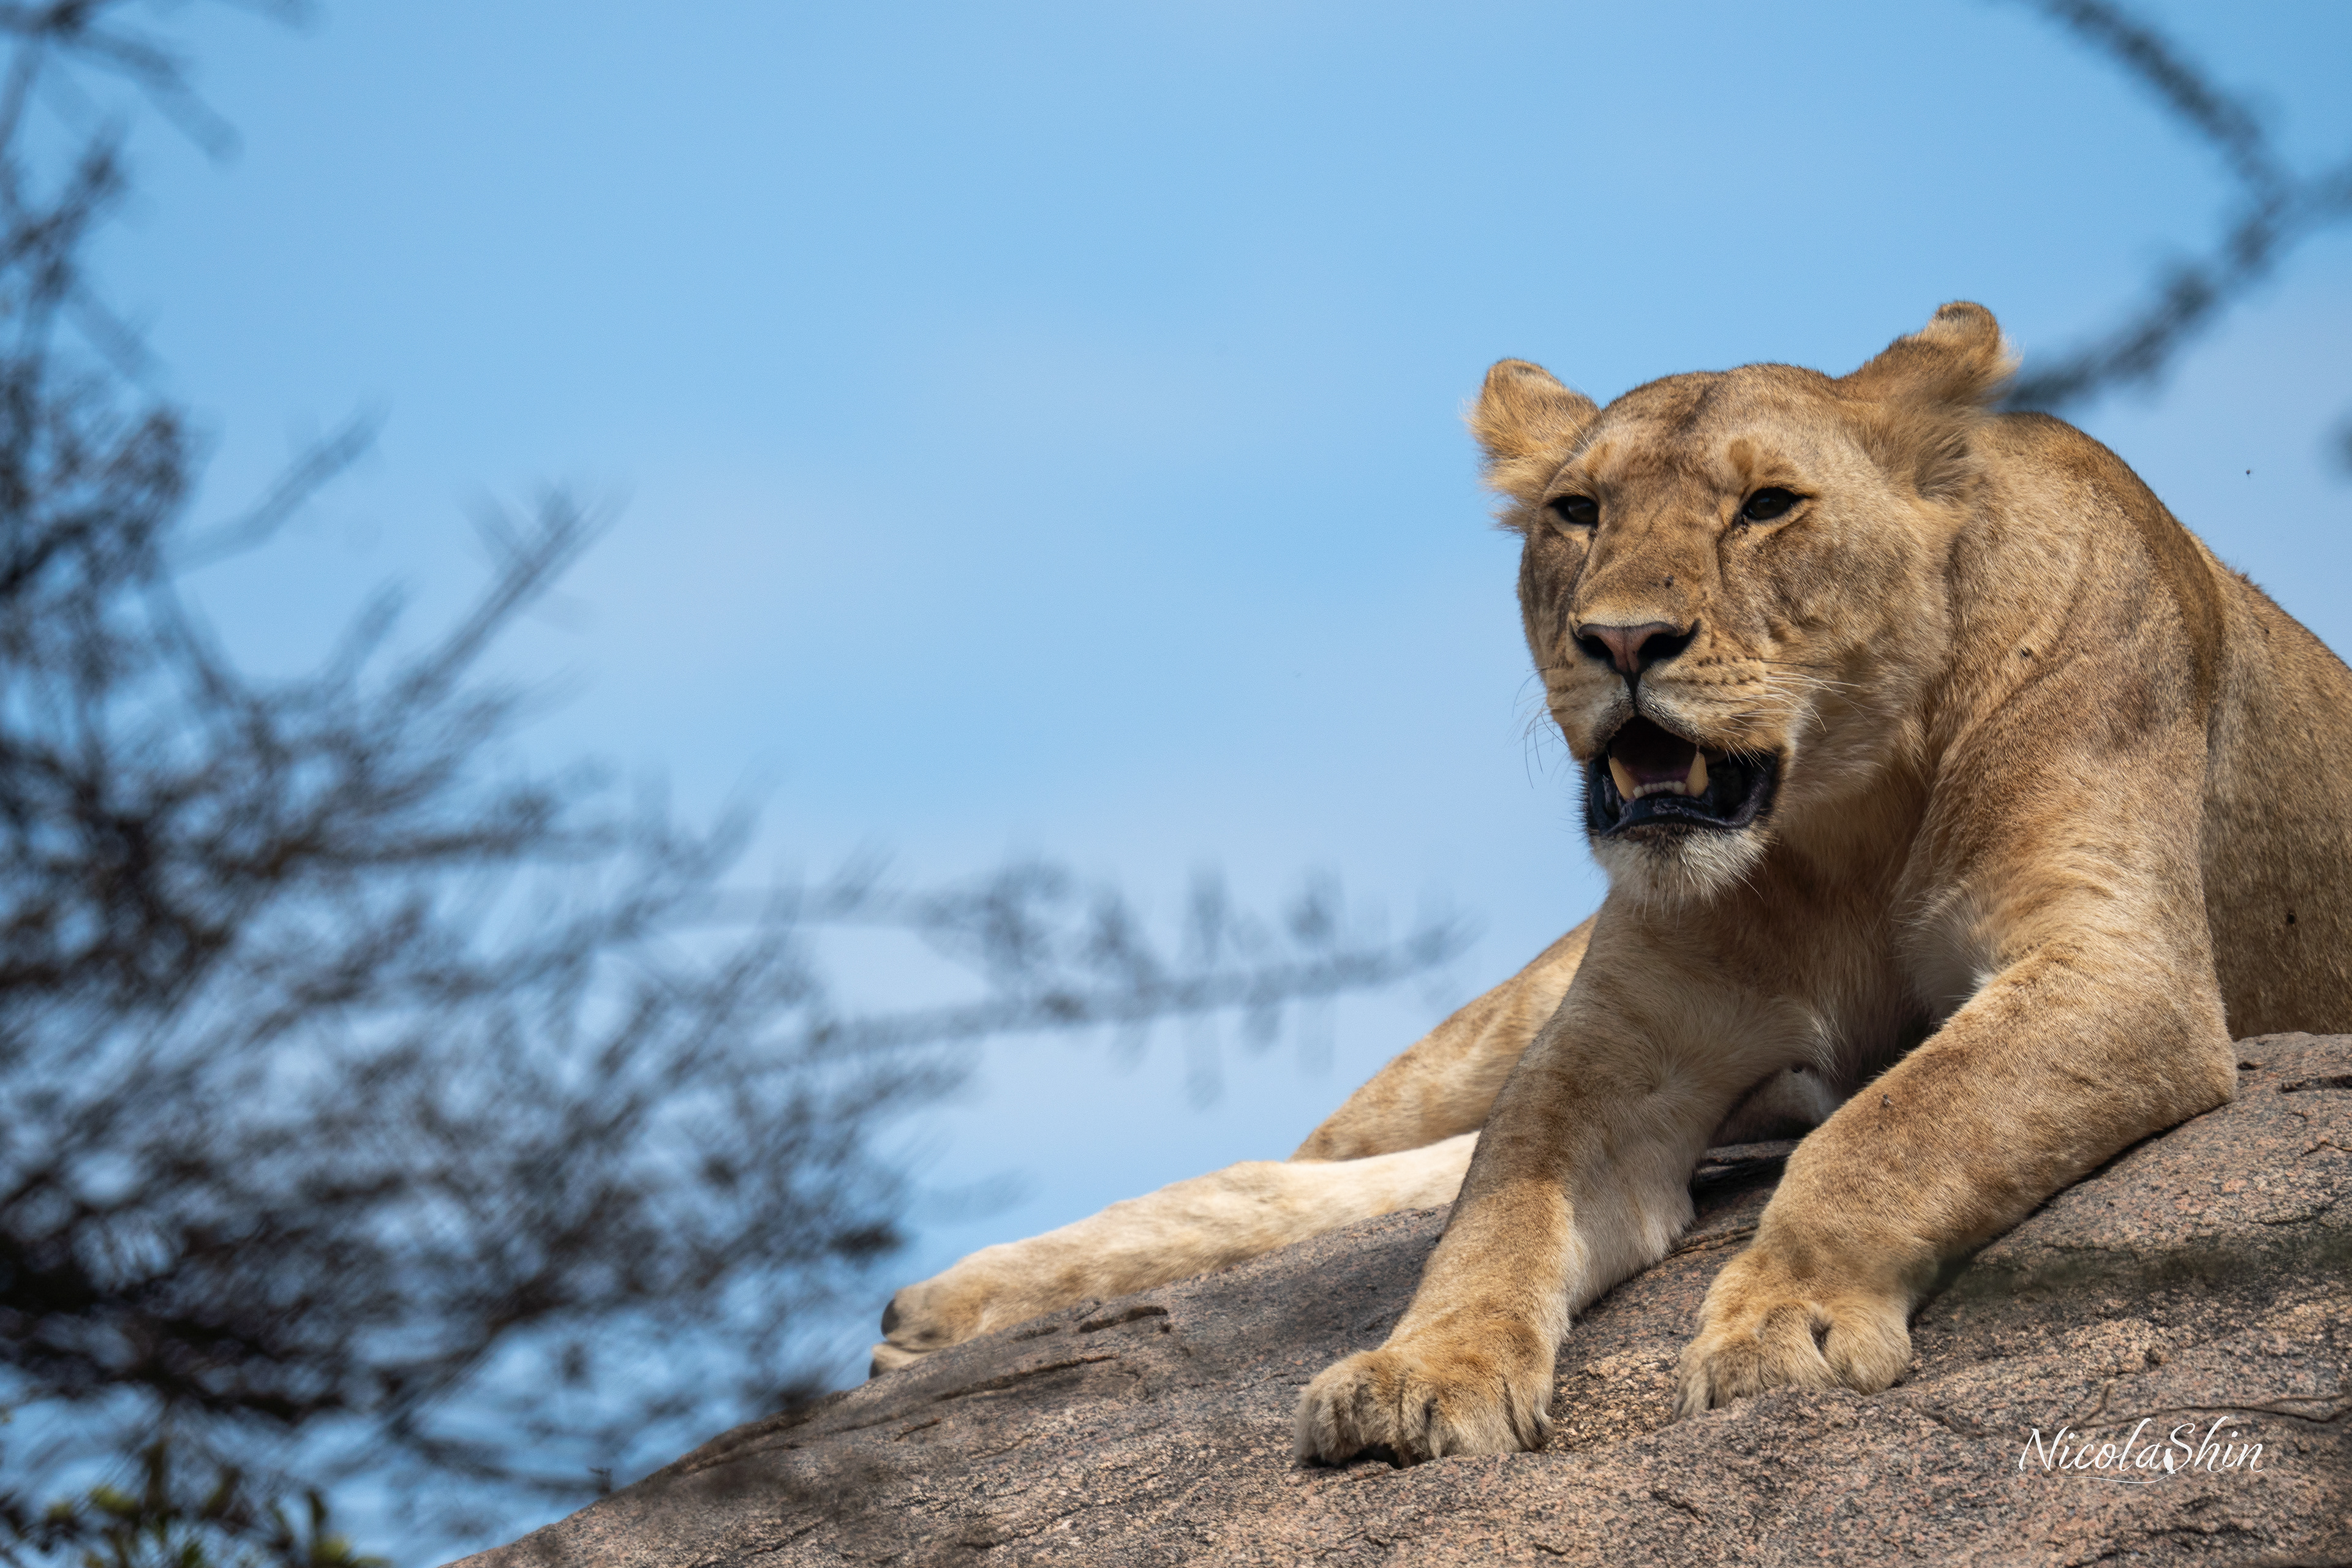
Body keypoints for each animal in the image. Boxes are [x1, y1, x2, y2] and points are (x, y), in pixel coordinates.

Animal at [871, 303, 2352, 1467]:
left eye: (1767, 506)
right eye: (1577, 513)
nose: (1625, 640)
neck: (1841, 820)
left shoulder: (2121, 966)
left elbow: (1899, 1122)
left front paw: (1785, 1321)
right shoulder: (1619, 1038)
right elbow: (1498, 1210)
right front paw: (1424, 1375)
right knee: (1336, 1165)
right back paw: (945, 1307)